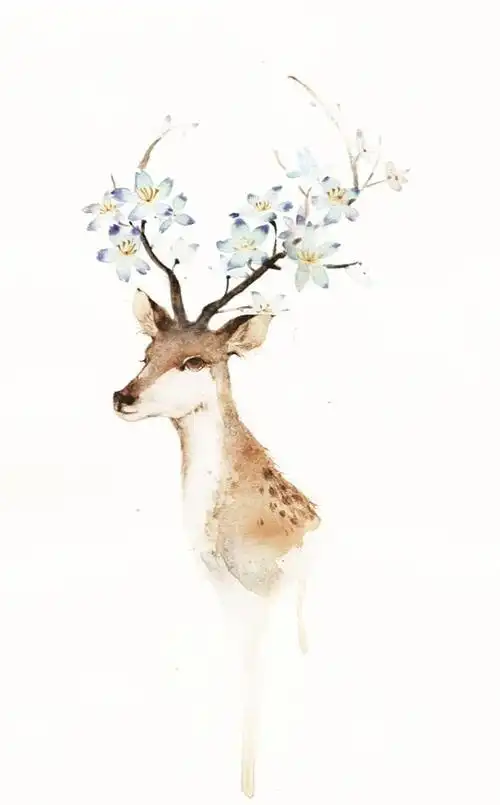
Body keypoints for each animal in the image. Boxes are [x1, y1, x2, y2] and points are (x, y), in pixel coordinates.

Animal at [84, 75, 408, 798]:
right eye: (148, 348)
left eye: (196, 359)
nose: (123, 396)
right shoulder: (232, 598)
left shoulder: (271, 598)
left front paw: (250, 780)